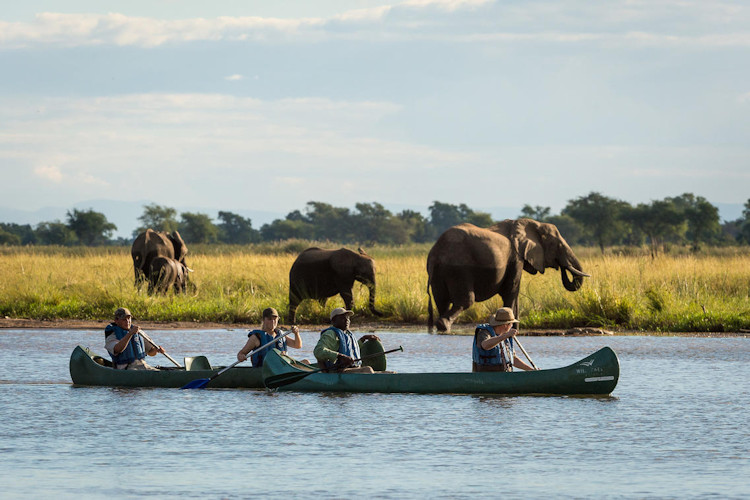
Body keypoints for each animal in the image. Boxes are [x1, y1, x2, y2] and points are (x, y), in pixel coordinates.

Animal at [426, 218, 589, 332]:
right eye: (558, 245)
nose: (562, 267)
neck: (531, 224)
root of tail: (437, 250)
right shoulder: (515, 258)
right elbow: (511, 291)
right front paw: (513, 329)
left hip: (439, 270)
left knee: (442, 300)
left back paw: (442, 327)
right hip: (458, 268)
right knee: (465, 300)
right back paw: (444, 326)